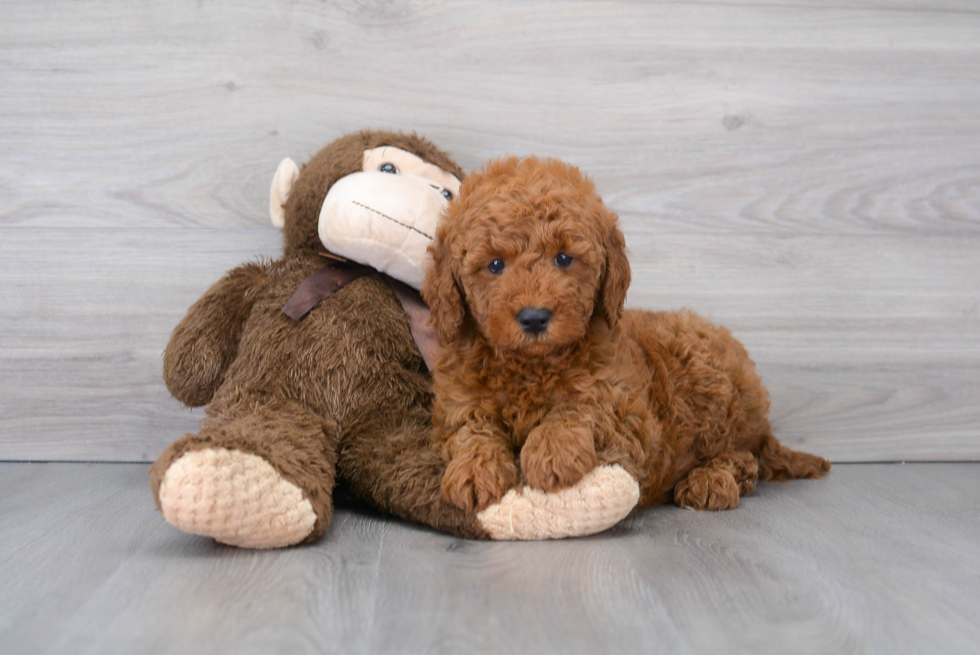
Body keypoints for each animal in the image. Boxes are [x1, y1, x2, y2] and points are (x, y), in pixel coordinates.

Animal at [422, 156, 828, 516]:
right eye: (495, 265)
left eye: (564, 258)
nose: (534, 318)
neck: (532, 367)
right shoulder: (456, 403)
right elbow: (471, 428)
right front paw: (474, 469)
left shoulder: (630, 416)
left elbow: (582, 407)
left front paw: (551, 452)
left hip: (710, 377)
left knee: (743, 456)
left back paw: (710, 481)